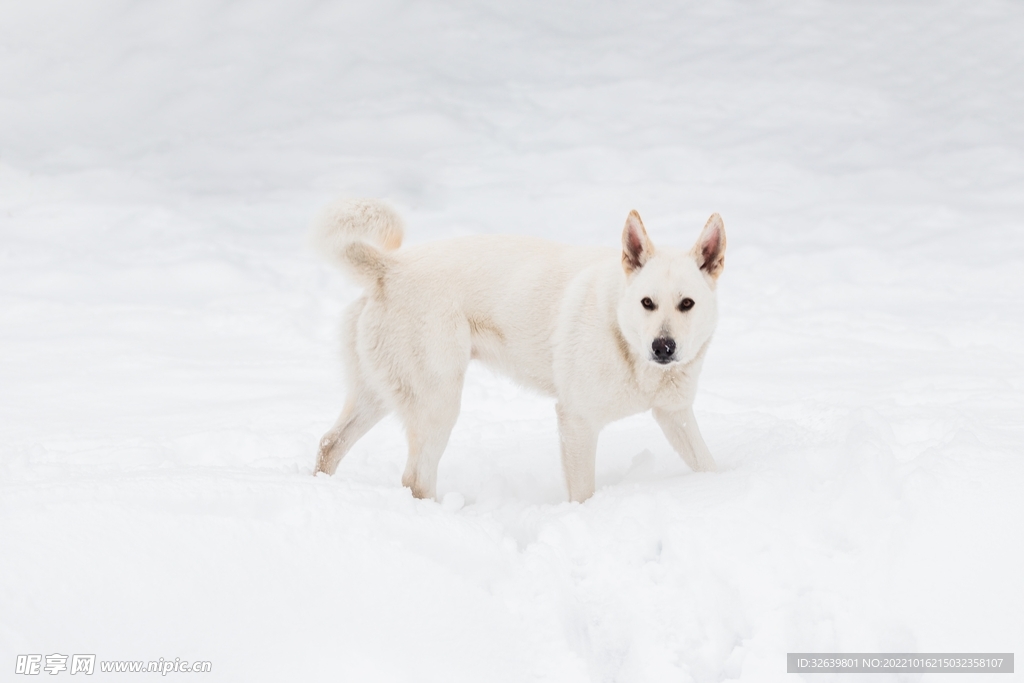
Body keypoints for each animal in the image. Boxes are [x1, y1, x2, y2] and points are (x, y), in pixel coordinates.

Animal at [315, 200, 724, 505]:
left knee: (329, 445)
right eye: (647, 303)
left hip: (380, 394)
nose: (663, 347)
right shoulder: (577, 423)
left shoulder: (675, 416)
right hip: (438, 404)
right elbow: (583, 495)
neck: (624, 337)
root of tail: (390, 267)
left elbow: (707, 464)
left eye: (686, 303)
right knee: (415, 478)